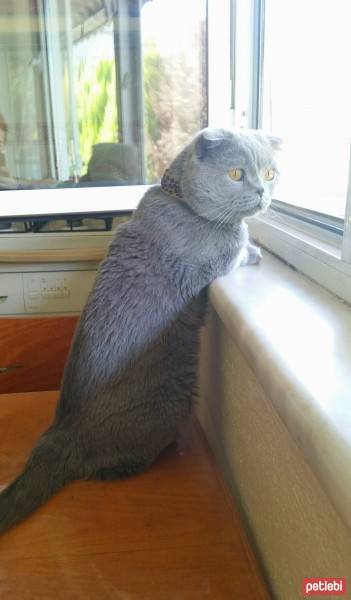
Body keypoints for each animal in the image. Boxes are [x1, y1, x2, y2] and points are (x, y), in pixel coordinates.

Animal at [0, 127, 280, 536]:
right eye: (235, 174)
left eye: (271, 174)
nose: (262, 191)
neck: (181, 202)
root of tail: (59, 434)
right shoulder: (214, 259)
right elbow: (238, 247)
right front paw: (254, 250)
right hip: (171, 400)